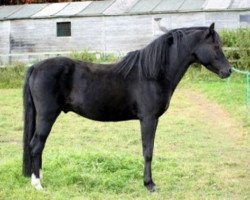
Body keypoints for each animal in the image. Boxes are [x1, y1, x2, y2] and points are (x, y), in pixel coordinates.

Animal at [22, 22, 231, 191]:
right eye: (215, 46)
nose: (228, 71)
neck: (152, 74)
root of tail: (36, 67)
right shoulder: (148, 119)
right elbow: (148, 151)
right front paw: (149, 184)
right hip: (47, 115)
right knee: (36, 145)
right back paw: (38, 184)